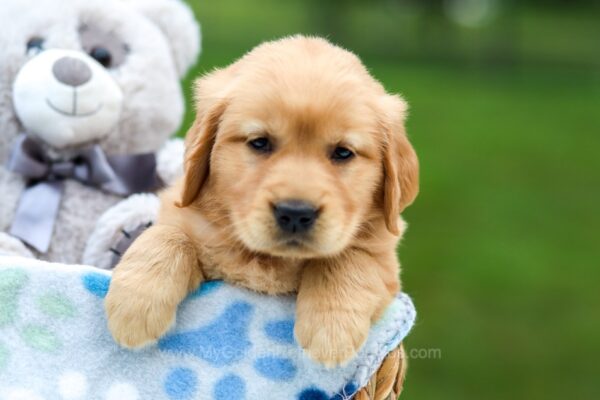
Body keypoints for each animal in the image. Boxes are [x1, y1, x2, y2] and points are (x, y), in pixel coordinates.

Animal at [105, 36, 418, 368]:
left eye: (343, 152)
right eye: (259, 143)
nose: (295, 213)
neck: (271, 258)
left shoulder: (384, 258)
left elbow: (348, 257)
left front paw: (331, 332)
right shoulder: (184, 217)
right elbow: (168, 235)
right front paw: (134, 306)